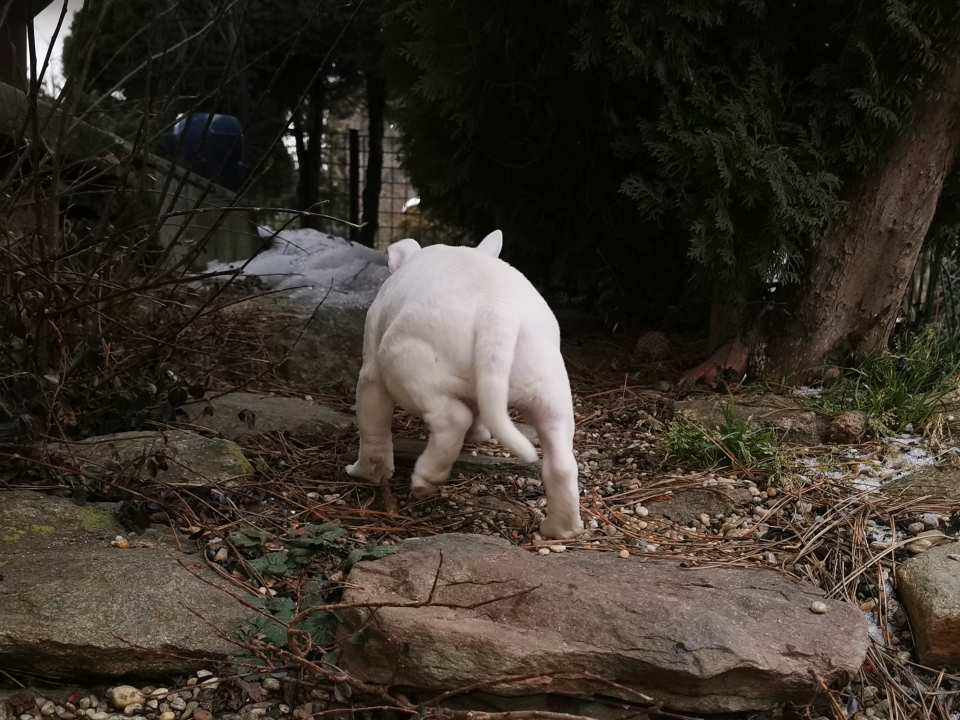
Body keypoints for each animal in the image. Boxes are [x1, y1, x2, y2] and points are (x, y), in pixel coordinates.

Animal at [346, 230, 584, 540]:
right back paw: (560, 530)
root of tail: (496, 309)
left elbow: (372, 423)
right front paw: (479, 435)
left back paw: (425, 479)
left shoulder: (372, 370)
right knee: (561, 459)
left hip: (406, 363)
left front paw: (366, 471)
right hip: (547, 385)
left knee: (451, 419)